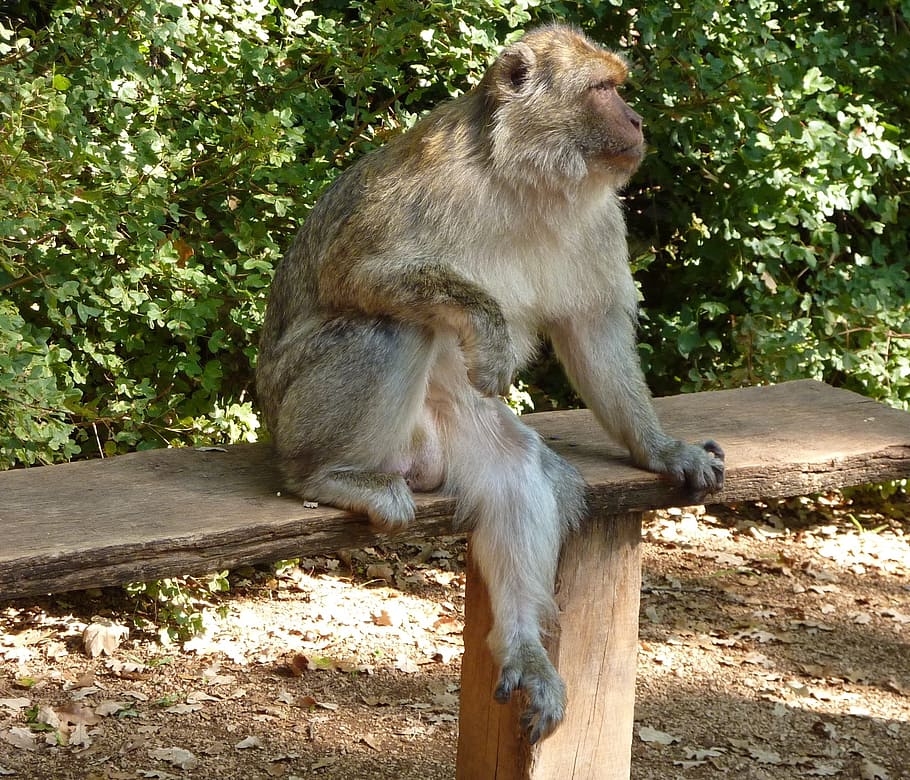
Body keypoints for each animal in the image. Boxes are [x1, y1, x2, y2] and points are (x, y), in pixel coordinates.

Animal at [256, 24, 724, 744]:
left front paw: (659, 448)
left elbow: (593, 333)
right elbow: (356, 274)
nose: (638, 122)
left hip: (449, 429)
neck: (526, 178)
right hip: (295, 409)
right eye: (604, 89)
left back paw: (524, 648)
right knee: (387, 325)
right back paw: (328, 476)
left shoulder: (599, 217)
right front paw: (487, 323)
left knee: (514, 468)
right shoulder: (434, 181)